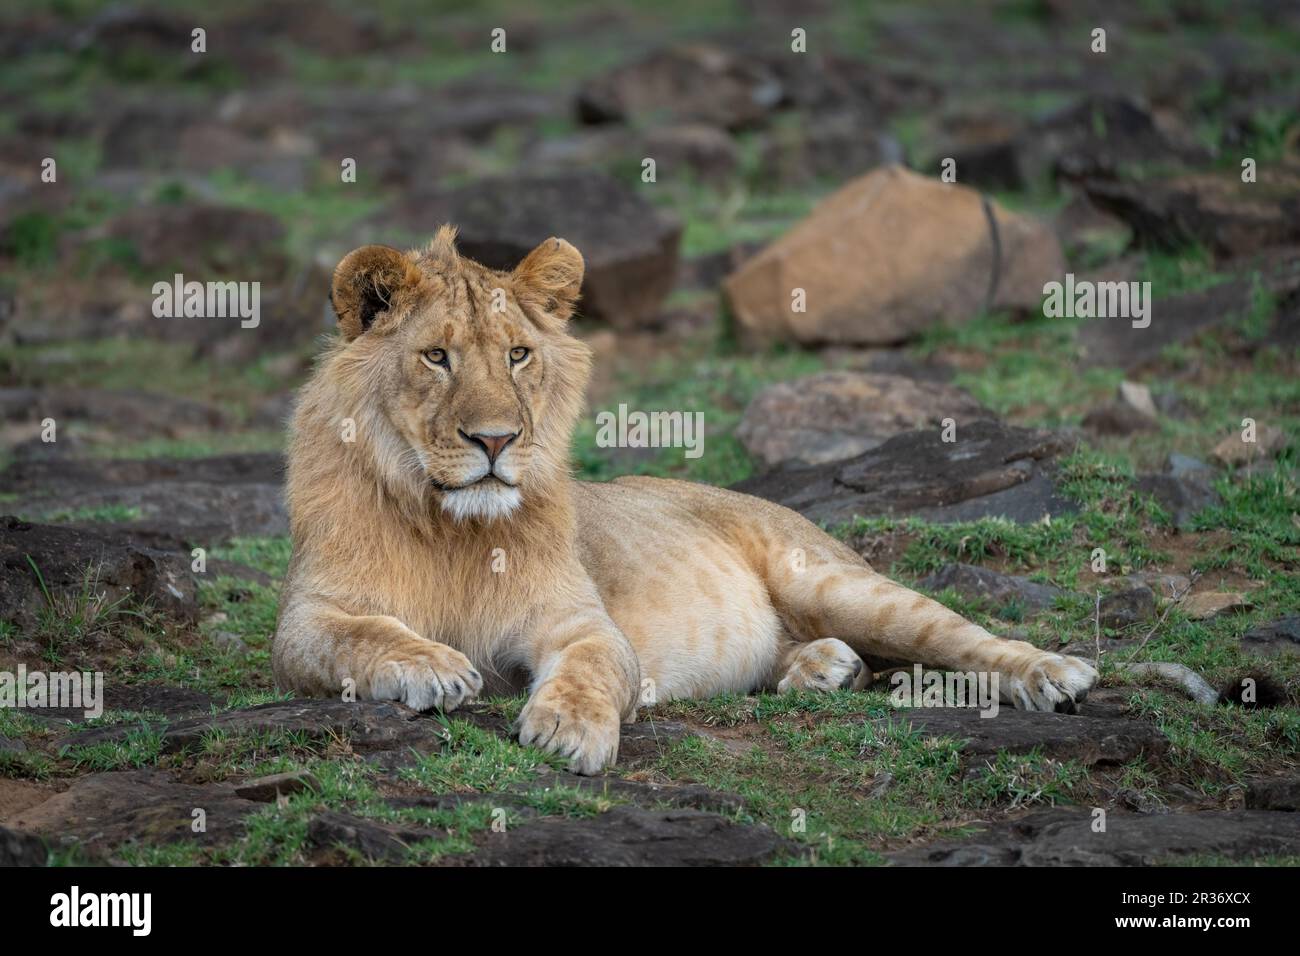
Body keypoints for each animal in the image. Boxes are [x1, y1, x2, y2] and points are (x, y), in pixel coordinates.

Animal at [274, 230, 1097, 780]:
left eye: (517, 355)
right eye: (436, 357)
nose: (496, 439)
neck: (452, 525)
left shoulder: (582, 621)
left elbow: (595, 665)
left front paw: (567, 728)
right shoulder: (305, 619)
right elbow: (360, 635)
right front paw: (434, 665)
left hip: (836, 581)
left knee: (955, 635)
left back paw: (1052, 673)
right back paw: (821, 668)